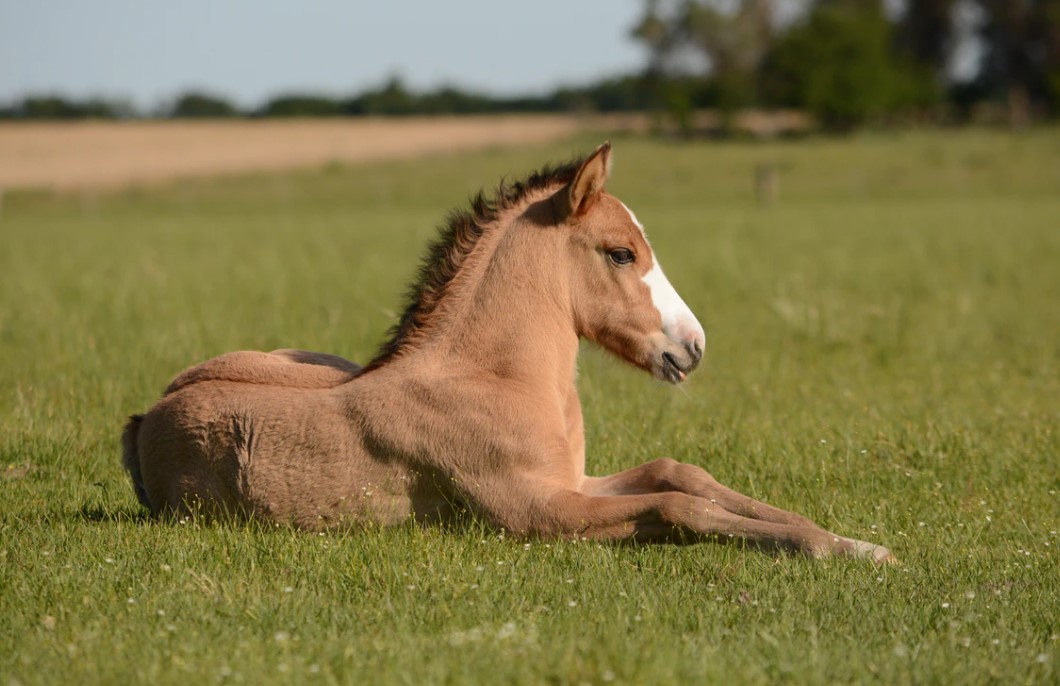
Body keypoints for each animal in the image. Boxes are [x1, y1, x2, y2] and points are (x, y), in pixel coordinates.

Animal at [121, 143, 894, 564]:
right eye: (621, 252)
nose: (692, 346)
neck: (494, 380)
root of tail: (144, 417)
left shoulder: (574, 482)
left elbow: (682, 474)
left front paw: (851, 541)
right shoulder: (536, 512)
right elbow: (680, 507)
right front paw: (836, 549)